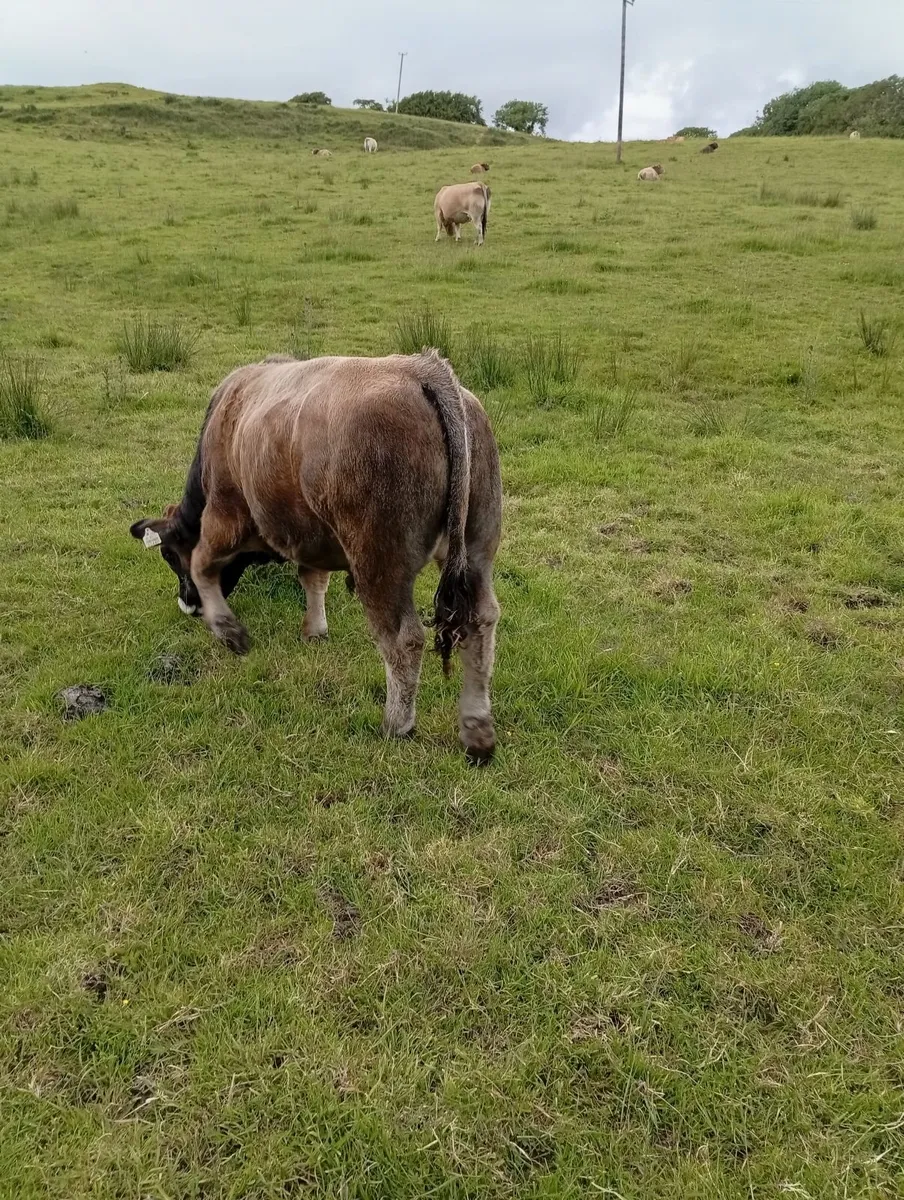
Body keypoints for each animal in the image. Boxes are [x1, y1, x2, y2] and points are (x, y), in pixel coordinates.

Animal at [129, 351, 502, 763]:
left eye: (168, 555)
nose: (188, 605)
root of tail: (421, 368)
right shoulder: (310, 534)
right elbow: (314, 579)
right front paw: (315, 629)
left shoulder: (226, 515)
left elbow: (201, 563)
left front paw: (229, 630)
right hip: (476, 551)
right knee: (481, 623)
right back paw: (477, 730)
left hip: (378, 561)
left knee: (404, 639)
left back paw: (397, 723)